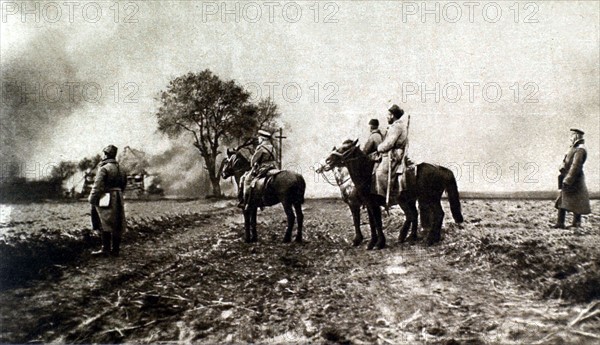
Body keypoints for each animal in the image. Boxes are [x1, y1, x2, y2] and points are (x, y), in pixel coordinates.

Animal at [322, 138, 462, 249]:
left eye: (345, 148)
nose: (328, 160)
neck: (367, 174)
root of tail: (441, 169)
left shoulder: (362, 204)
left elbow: (374, 222)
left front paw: (377, 243)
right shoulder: (369, 204)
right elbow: (372, 222)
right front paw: (372, 242)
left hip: (429, 199)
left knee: (437, 214)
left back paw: (430, 239)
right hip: (413, 200)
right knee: (415, 215)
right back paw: (412, 237)